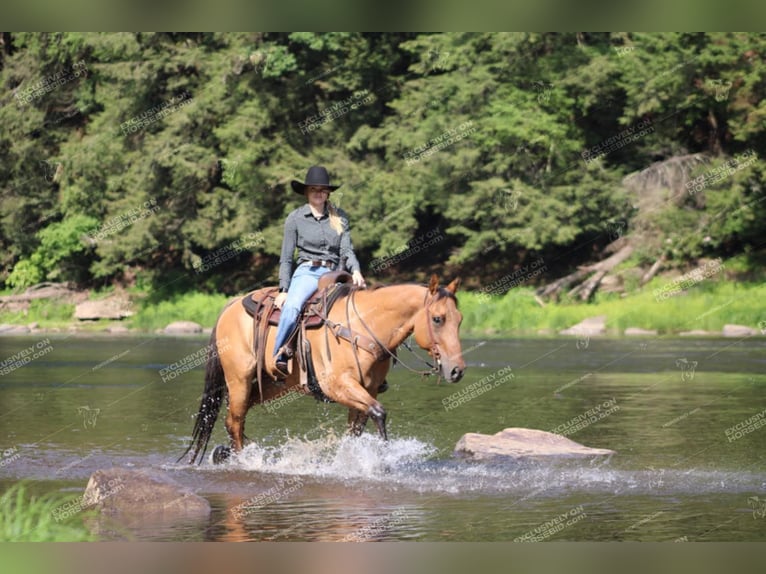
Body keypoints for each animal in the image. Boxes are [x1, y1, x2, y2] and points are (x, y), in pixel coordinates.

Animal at [182, 272, 468, 466]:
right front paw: (382, 458)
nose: (457, 370)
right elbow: (379, 413)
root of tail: (231, 305)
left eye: (460, 320)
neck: (362, 327)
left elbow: (357, 428)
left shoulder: (367, 390)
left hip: (273, 385)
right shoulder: (338, 386)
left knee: (235, 421)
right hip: (239, 379)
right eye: (437, 319)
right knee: (235, 420)